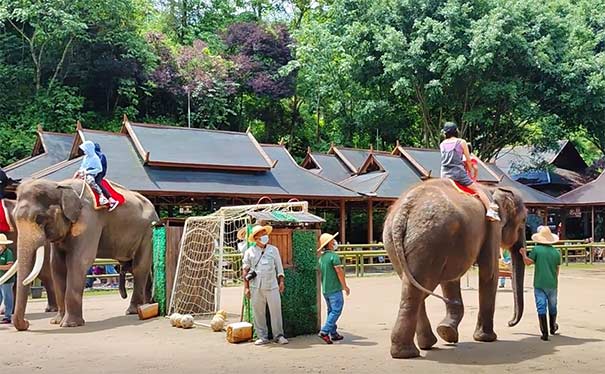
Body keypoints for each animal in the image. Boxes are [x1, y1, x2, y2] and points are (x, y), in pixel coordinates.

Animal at [7, 178, 158, 330]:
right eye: (14, 218)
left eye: (39, 218)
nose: (26, 323)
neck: (60, 186)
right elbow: (57, 265)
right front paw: (56, 321)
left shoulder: (89, 220)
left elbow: (78, 261)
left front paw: (69, 324)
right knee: (138, 268)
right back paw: (146, 306)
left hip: (148, 232)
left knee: (140, 267)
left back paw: (133, 310)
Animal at [384, 179, 528, 360]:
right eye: (524, 220)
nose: (510, 323)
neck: (493, 189)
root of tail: (404, 209)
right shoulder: (493, 226)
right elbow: (489, 272)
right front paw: (486, 338)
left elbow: (451, 280)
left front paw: (447, 332)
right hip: (430, 240)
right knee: (418, 289)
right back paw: (410, 352)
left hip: (399, 242)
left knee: (412, 288)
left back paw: (421, 346)